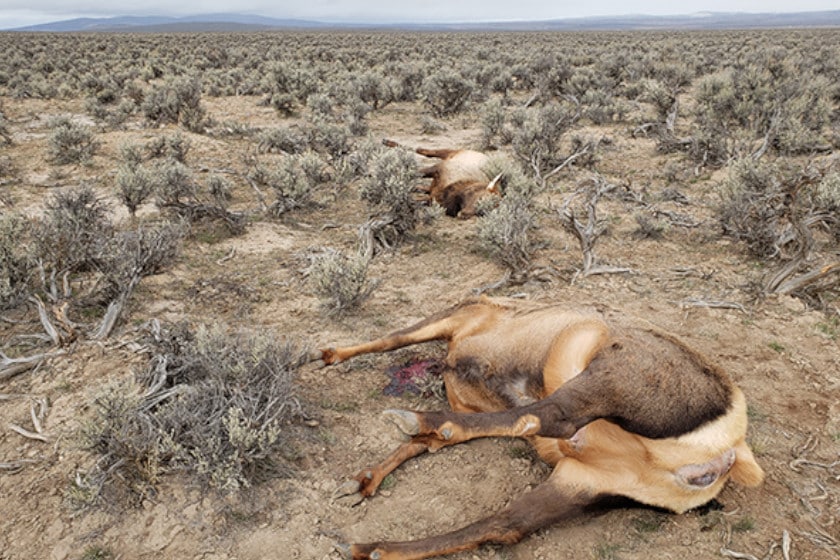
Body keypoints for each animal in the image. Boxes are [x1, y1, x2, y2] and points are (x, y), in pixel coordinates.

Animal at [318, 296, 764, 556]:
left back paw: (414, 420)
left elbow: (392, 337)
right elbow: (425, 444)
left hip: (612, 376)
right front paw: (363, 481)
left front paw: (326, 353)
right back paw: (368, 548)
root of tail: (729, 454)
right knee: (505, 525)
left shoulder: (463, 313)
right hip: (582, 484)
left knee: (551, 415)